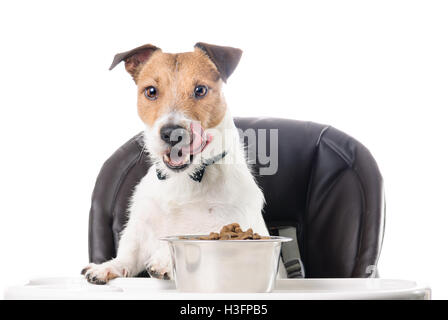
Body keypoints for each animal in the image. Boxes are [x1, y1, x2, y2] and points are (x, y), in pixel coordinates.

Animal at [82, 42, 274, 282]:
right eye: (151, 91)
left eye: (200, 90)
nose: (172, 134)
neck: (185, 178)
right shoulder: (141, 228)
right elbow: (129, 253)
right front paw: (107, 266)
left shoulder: (225, 223)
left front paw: (165, 261)